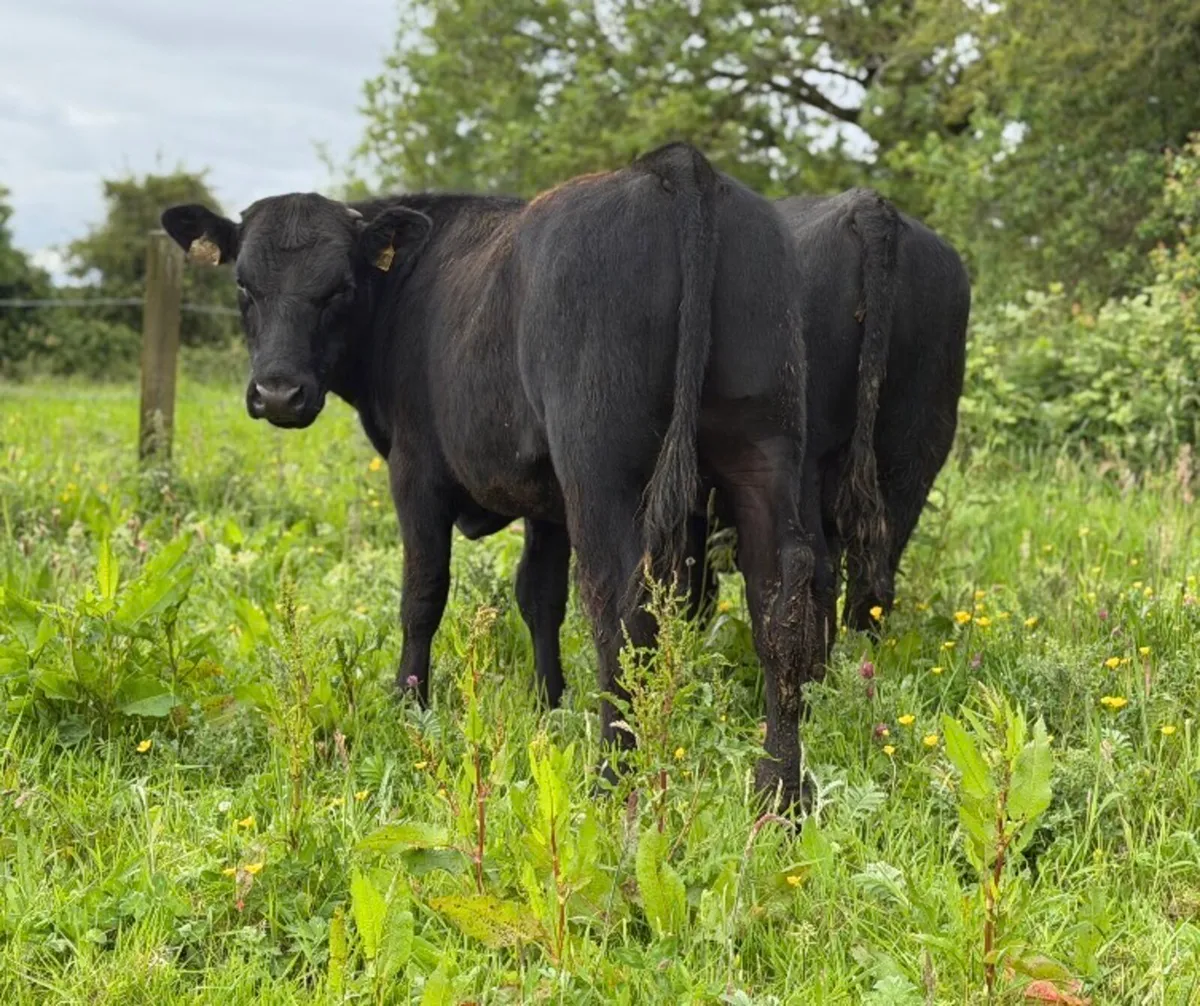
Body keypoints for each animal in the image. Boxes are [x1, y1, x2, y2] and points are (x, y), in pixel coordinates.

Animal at [162, 142, 819, 808]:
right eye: (244, 286)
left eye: (338, 289)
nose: (278, 393)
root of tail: (673, 168)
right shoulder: (544, 499)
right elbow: (539, 596)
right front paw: (547, 702)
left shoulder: (416, 470)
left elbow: (423, 593)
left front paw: (410, 706)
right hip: (762, 448)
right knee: (779, 602)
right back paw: (780, 790)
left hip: (601, 469)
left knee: (621, 605)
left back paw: (612, 775)